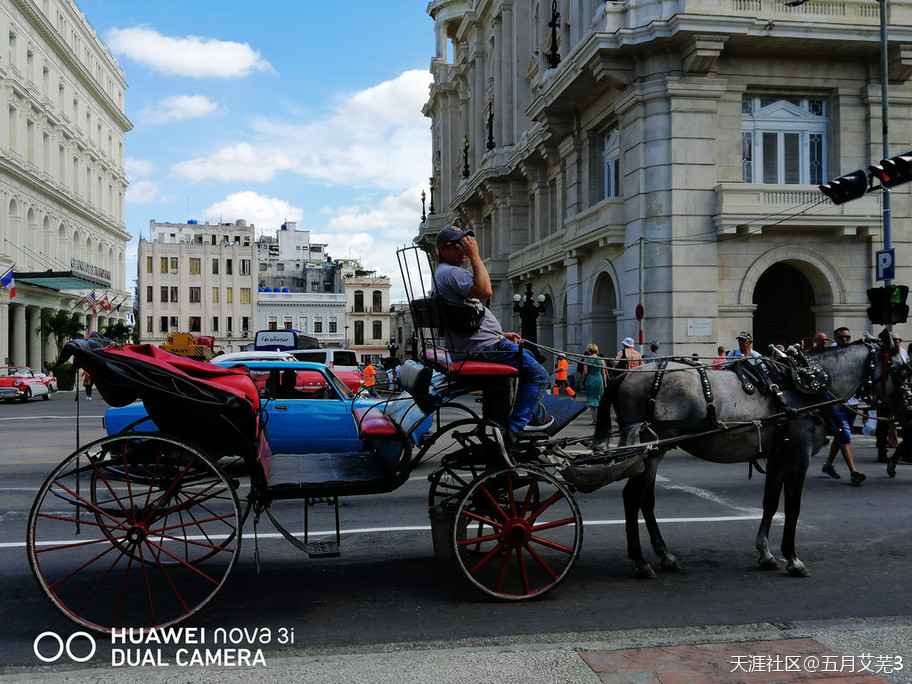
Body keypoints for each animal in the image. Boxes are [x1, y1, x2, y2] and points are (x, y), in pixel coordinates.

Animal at [608, 334, 908, 580]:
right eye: (901, 370)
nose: (907, 406)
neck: (808, 384)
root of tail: (625, 376)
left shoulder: (777, 458)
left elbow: (770, 503)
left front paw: (766, 553)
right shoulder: (798, 456)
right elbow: (793, 507)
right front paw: (793, 558)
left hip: (653, 453)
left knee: (645, 500)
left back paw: (664, 556)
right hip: (650, 450)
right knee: (632, 497)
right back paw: (640, 561)